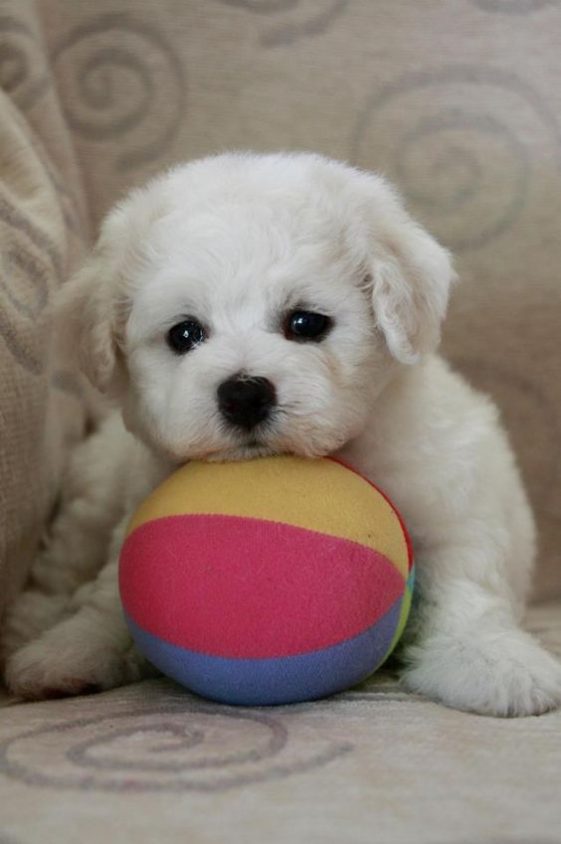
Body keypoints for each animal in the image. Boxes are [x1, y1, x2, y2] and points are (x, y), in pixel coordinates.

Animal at [4, 152, 560, 712]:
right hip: (95, 490)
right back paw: (31, 627)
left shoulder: (448, 502)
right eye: (184, 334)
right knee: (61, 565)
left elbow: (466, 586)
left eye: (306, 323)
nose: (244, 394)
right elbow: (108, 595)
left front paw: (495, 662)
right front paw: (74, 648)